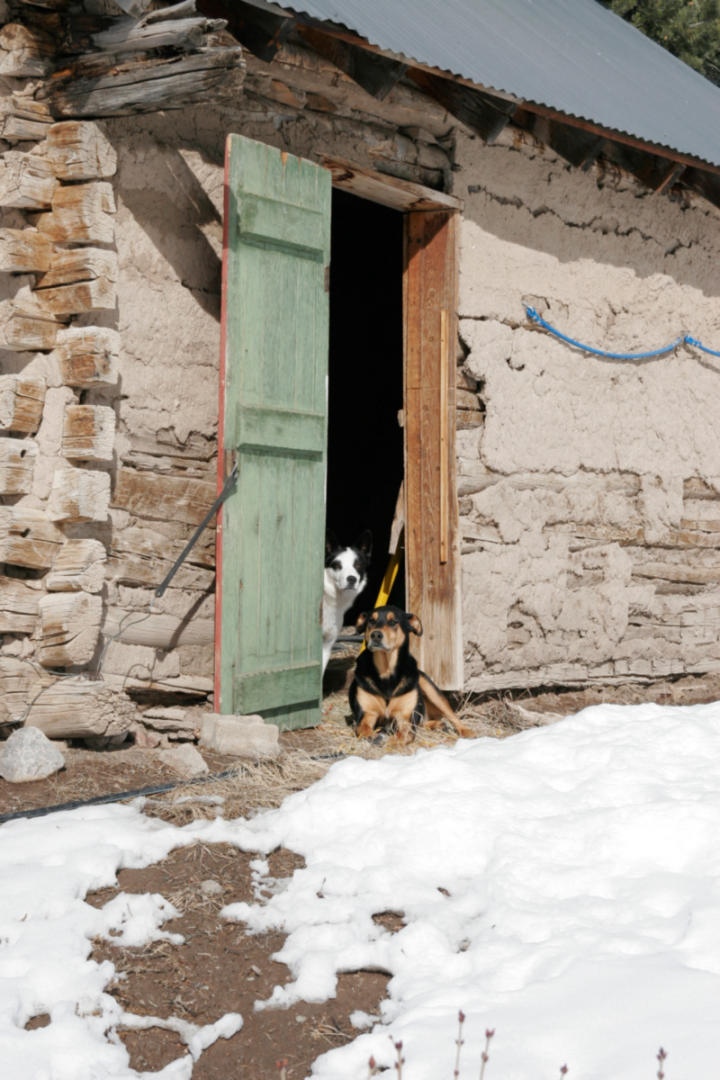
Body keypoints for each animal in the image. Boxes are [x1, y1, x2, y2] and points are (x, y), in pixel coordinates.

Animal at [349, 604, 472, 747]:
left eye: (393, 622)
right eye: (371, 621)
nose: (375, 635)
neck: (386, 672)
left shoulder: (405, 717)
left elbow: (403, 735)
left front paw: (390, 741)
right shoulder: (366, 714)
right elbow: (363, 729)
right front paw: (374, 737)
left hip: (430, 688)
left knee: (452, 716)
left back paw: (466, 732)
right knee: (423, 723)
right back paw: (438, 724)